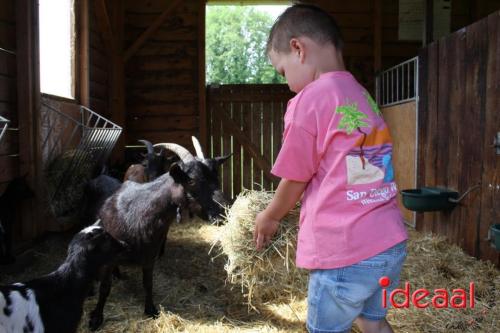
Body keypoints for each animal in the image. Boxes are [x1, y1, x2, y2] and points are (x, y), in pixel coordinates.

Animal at [88, 136, 230, 328]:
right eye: (191, 181)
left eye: (216, 176)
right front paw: (96, 317)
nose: (223, 212)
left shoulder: (150, 255)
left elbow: (148, 284)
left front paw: (150, 309)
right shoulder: (111, 258)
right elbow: (105, 288)